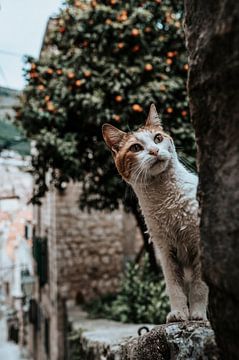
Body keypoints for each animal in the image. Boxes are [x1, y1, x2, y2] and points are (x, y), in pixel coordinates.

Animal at [102, 102, 208, 322]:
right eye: (136, 148)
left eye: (158, 138)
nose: (153, 150)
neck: (165, 198)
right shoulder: (165, 250)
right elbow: (174, 287)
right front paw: (178, 313)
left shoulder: (198, 244)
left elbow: (199, 286)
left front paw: (197, 314)